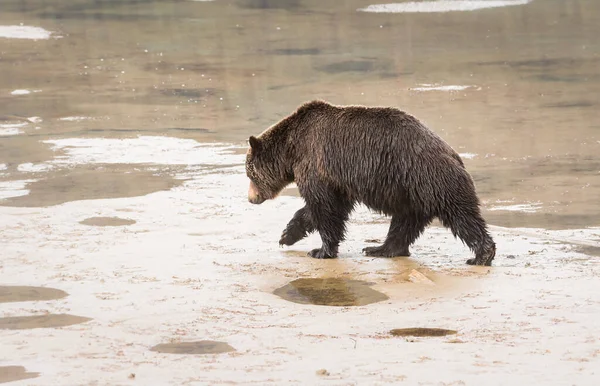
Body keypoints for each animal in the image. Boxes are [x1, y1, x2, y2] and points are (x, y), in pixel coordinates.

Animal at [245, 100, 496, 266]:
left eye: (249, 174)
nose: (251, 198)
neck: (291, 148)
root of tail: (454, 155)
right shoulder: (336, 179)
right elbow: (323, 208)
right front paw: (287, 235)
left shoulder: (316, 163)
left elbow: (324, 207)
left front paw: (320, 250)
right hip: (409, 191)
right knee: (405, 222)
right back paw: (380, 248)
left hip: (429, 179)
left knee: (461, 215)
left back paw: (481, 255)